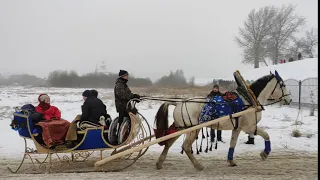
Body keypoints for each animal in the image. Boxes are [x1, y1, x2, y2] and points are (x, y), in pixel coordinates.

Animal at [154, 70, 292, 170]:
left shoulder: (238, 128)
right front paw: (265, 153)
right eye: (283, 84)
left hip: (181, 128)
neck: (249, 100)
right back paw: (198, 165)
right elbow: (266, 135)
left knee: (168, 143)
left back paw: (159, 163)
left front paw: (231, 161)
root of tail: (178, 103)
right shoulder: (249, 127)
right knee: (186, 147)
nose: (290, 99)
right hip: (193, 129)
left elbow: (232, 144)